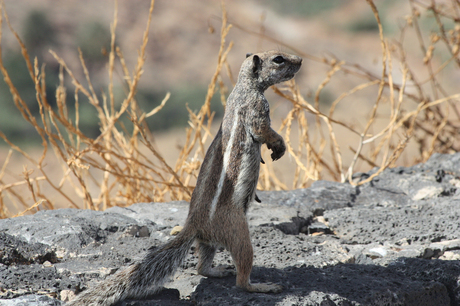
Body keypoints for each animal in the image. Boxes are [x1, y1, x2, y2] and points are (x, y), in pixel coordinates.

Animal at [65, 51, 302, 304]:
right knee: (241, 276)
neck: (245, 87)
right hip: (238, 231)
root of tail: (193, 224)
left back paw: (218, 270)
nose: (299, 61)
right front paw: (279, 144)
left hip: (209, 242)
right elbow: (263, 130)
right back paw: (261, 286)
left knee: (202, 267)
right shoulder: (257, 110)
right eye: (278, 59)